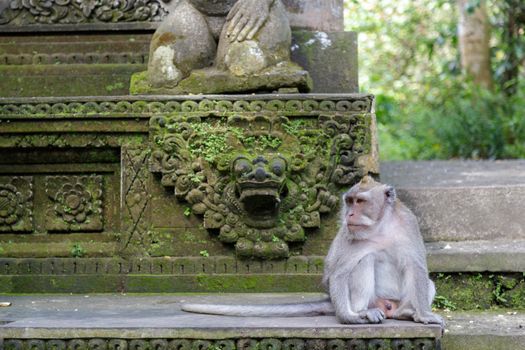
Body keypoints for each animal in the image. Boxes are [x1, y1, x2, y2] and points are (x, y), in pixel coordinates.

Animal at [180, 176, 442, 326]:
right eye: (349, 201)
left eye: (360, 202)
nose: (349, 214)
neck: (380, 226)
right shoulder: (349, 234)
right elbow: (338, 273)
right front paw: (349, 318)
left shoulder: (409, 224)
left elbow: (417, 268)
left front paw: (425, 315)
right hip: (367, 300)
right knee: (364, 262)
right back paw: (362, 312)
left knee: (425, 283)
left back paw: (405, 313)